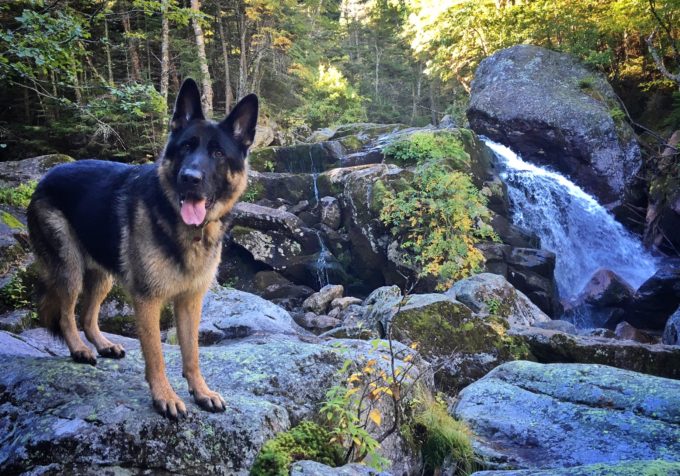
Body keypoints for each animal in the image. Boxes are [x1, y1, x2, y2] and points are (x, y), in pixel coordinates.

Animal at [26, 80, 258, 418]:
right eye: (186, 147)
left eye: (217, 153)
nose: (189, 178)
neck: (187, 231)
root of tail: (46, 176)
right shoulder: (148, 301)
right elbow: (156, 354)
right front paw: (165, 396)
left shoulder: (190, 302)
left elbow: (192, 353)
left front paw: (201, 392)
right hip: (70, 270)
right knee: (67, 315)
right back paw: (80, 349)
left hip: (103, 276)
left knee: (87, 315)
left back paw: (103, 344)